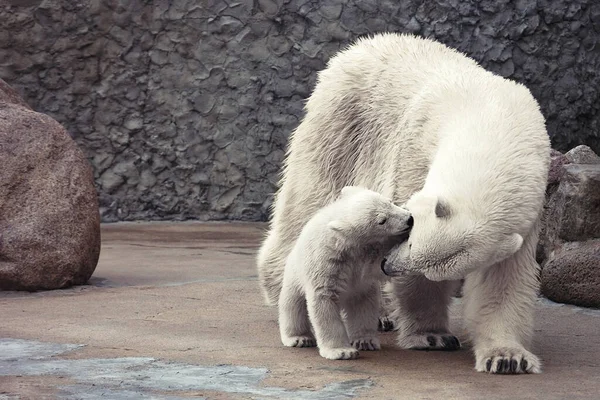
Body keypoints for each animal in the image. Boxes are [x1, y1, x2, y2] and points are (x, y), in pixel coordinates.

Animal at [278, 186, 412, 360]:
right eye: (382, 220)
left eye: (389, 202)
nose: (409, 219)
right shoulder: (327, 264)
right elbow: (324, 302)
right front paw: (342, 351)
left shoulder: (364, 265)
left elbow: (365, 298)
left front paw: (365, 342)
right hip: (295, 273)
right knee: (292, 304)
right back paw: (300, 338)